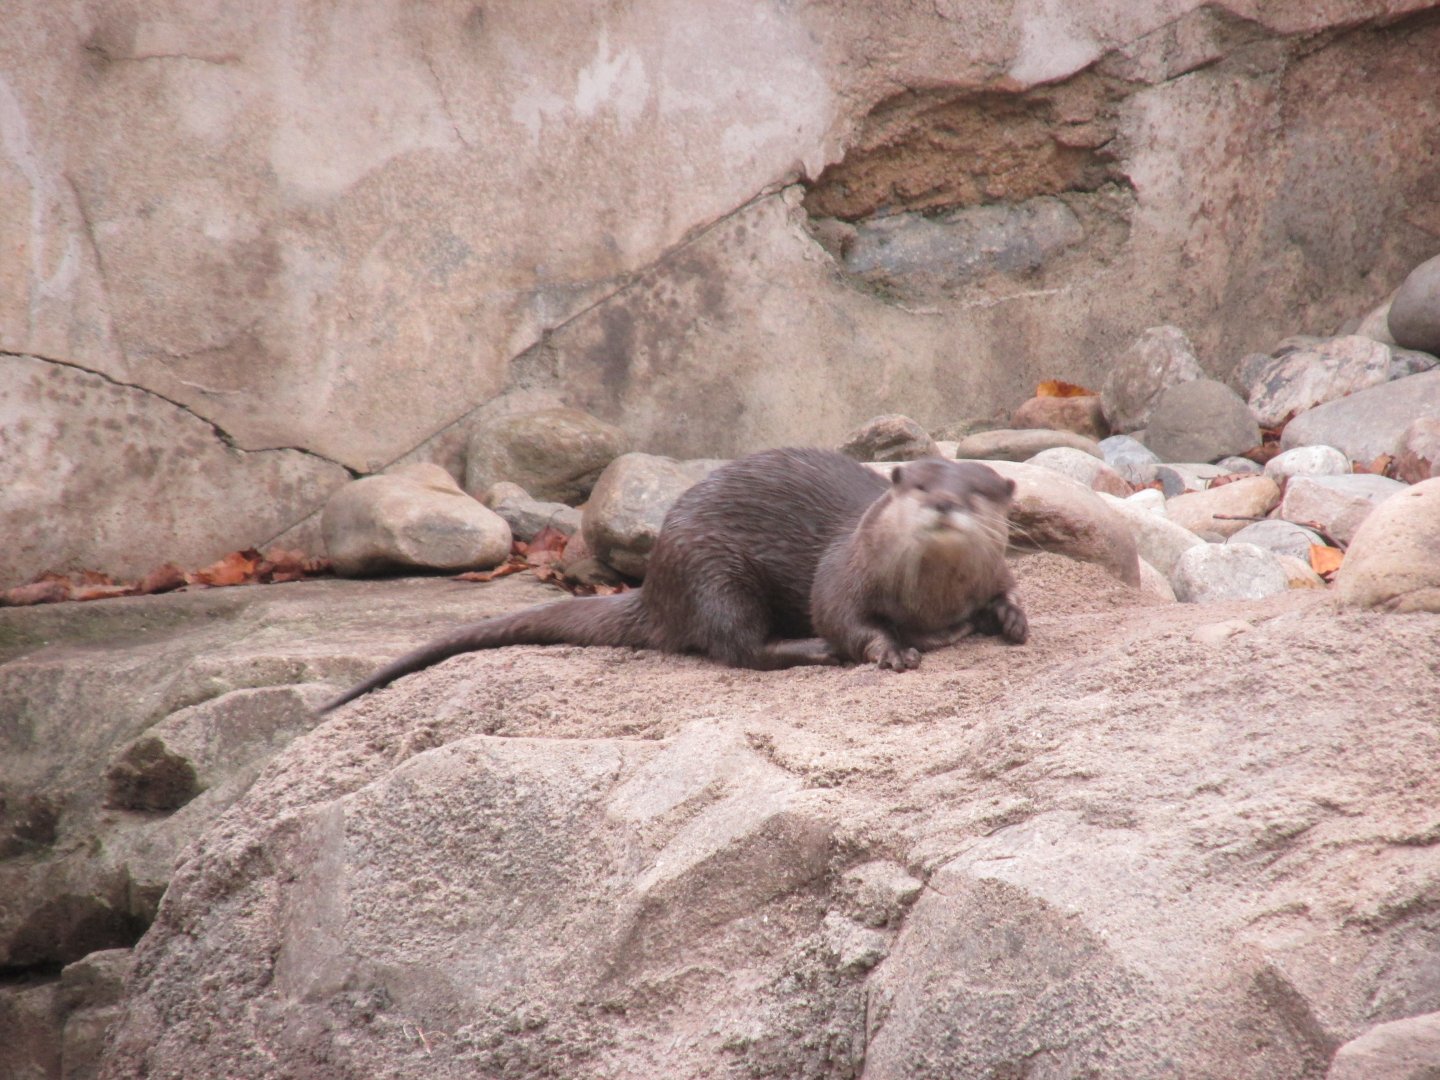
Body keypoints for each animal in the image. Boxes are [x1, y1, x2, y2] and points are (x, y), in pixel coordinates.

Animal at [318, 448, 1026, 713]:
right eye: (921, 486)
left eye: (977, 490)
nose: (945, 503)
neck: (931, 601)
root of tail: (655, 582)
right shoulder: (843, 576)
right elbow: (846, 619)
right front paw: (891, 650)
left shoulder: (991, 569)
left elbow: (1005, 590)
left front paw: (1013, 618)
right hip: (714, 574)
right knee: (736, 646)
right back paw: (809, 650)